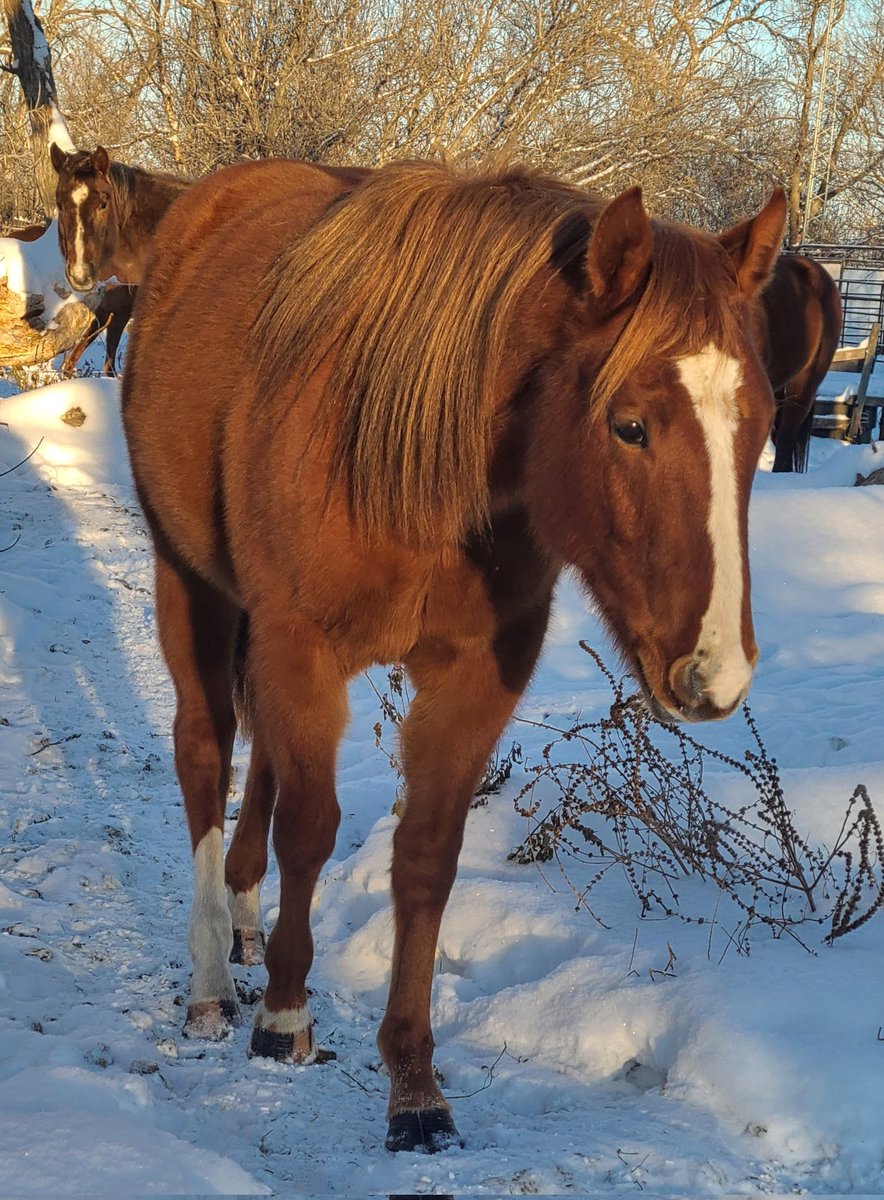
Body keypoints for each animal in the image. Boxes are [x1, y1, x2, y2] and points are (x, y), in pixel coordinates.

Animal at [122, 156, 785, 1153]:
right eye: (629, 425)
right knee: (207, 755)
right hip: (192, 587)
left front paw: (414, 1087)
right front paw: (285, 1015)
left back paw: (243, 923)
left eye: (764, 422)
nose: (715, 673)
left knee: (263, 766)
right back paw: (212, 983)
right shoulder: (300, 644)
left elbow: (427, 857)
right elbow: (310, 828)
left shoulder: (476, 673)